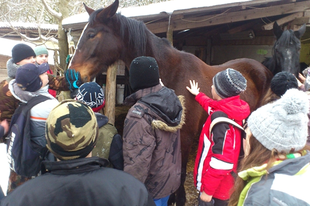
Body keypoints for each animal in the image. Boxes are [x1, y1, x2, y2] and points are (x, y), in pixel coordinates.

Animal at [69, 0, 272, 205]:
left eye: (92, 34)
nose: (71, 74)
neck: (172, 74)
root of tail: (262, 68)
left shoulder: (186, 136)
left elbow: (180, 170)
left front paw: (179, 198)